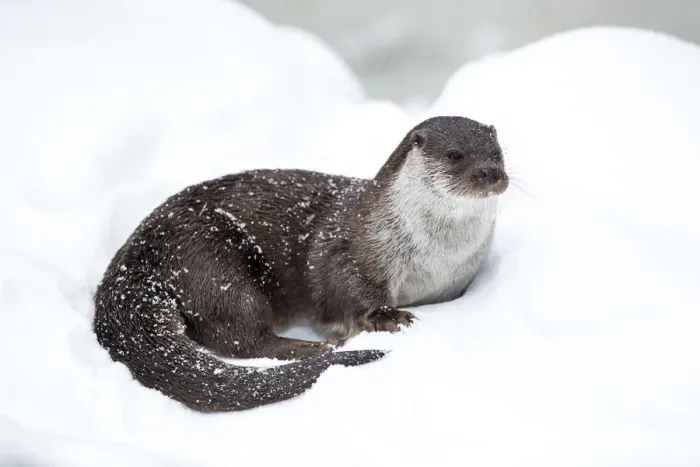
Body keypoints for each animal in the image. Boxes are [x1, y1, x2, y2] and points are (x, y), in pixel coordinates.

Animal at [93, 116, 509, 412]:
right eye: (455, 154)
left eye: (498, 152)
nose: (491, 173)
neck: (434, 259)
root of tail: (134, 258)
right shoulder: (349, 252)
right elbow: (347, 297)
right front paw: (389, 318)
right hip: (213, 266)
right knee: (242, 338)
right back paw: (318, 348)